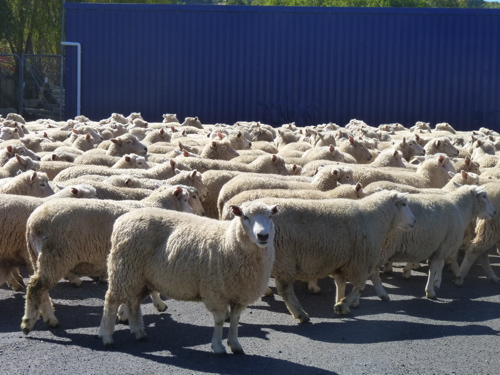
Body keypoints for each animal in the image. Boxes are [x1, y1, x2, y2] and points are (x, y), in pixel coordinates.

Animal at [21, 185, 197, 334]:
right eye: (186, 199)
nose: (194, 213)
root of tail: (32, 223)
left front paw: (123, 313)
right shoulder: (140, 259)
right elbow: (150, 289)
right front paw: (157, 305)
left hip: (37, 257)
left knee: (41, 291)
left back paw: (49, 318)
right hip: (55, 257)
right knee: (36, 287)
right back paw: (29, 322)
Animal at [97, 201, 278, 354]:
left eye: (270, 216)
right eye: (245, 217)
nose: (263, 236)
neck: (228, 241)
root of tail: (122, 219)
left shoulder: (240, 295)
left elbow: (235, 320)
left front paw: (235, 344)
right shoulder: (215, 292)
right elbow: (220, 321)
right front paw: (218, 347)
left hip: (140, 278)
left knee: (133, 302)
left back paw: (138, 332)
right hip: (124, 270)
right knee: (111, 301)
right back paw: (107, 337)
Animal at [244, 192, 416, 322]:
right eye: (404, 204)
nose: (414, 221)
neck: (374, 218)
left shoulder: (341, 262)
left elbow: (341, 284)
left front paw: (340, 303)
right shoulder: (361, 263)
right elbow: (360, 287)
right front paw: (342, 305)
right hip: (284, 259)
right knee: (285, 290)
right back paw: (300, 314)